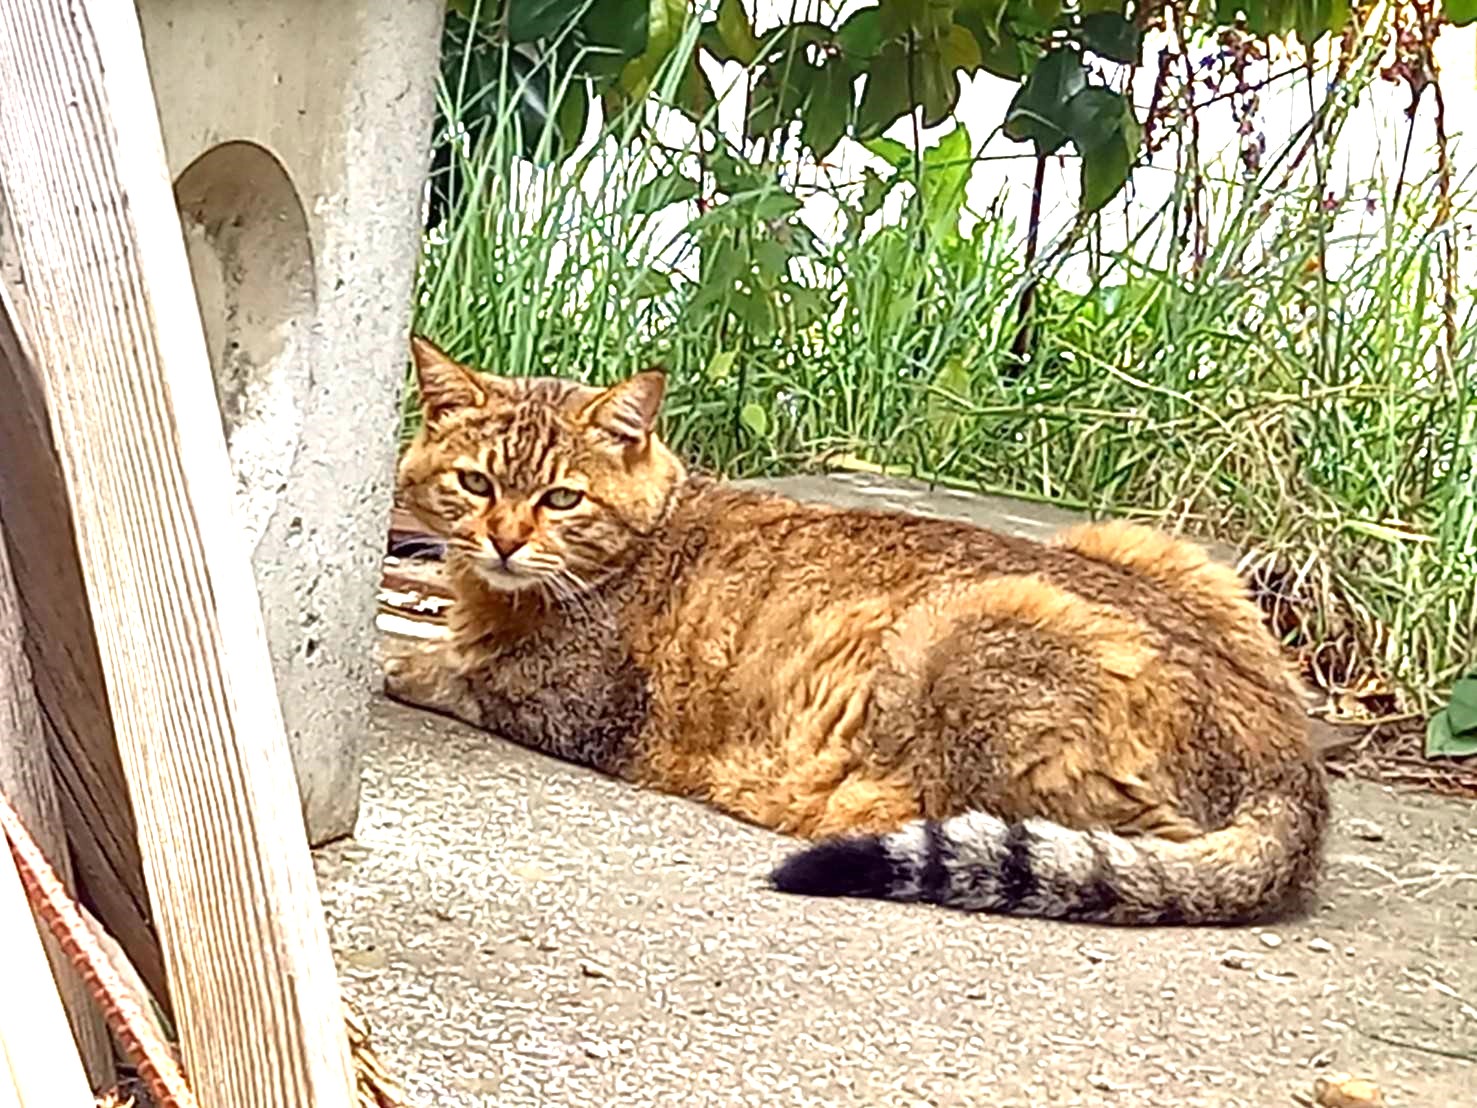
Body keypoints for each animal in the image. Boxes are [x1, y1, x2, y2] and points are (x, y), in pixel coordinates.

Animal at [389, 338, 1329, 927]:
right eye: (475, 484)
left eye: (561, 499)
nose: (504, 540)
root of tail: (1294, 769)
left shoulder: (561, 703)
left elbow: (438, 668)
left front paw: (403, 655)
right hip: (1142, 548)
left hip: (967, 634)